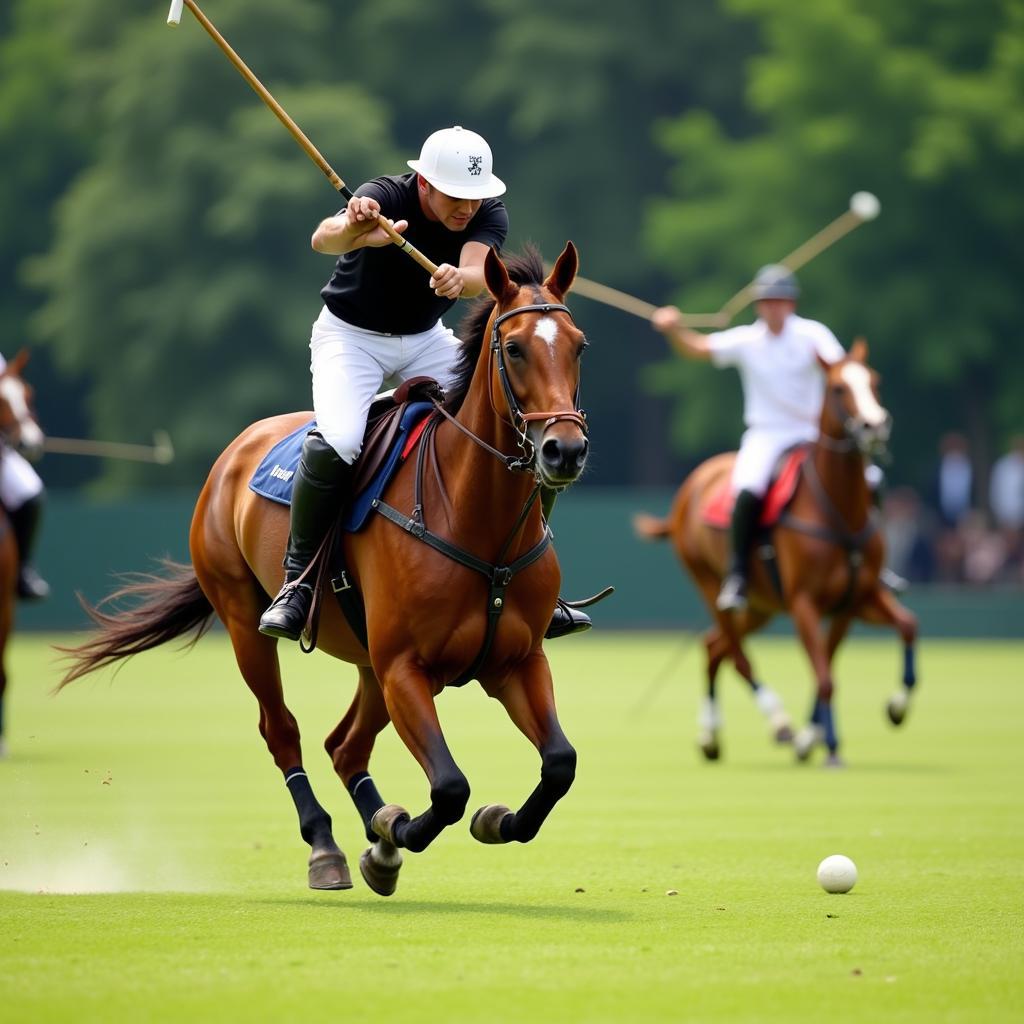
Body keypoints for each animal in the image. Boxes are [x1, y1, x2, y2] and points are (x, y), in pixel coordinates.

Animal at [58, 243, 593, 892]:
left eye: (578, 345)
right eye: (514, 348)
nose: (564, 451)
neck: (478, 524)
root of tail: (238, 449)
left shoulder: (514, 660)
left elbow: (560, 763)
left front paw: (482, 823)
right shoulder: (404, 666)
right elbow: (449, 788)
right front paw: (398, 830)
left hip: (367, 662)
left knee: (345, 746)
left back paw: (374, 843)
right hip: (245, 621)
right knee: (282, 730)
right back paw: (328, 847)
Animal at [638, 339, 921, 765]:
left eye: (874, 381)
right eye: (839, 388)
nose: (874, 426)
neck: (839, 511)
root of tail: (692, 485)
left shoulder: (855, 599)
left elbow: (902, 628)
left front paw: (894, 709)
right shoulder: (804, 602)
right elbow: (825, 676)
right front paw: (826, 746)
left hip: (762, 605)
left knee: (714, 647)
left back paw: (712, 738)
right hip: (713, 587)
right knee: (736, 655)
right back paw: (777, 722)